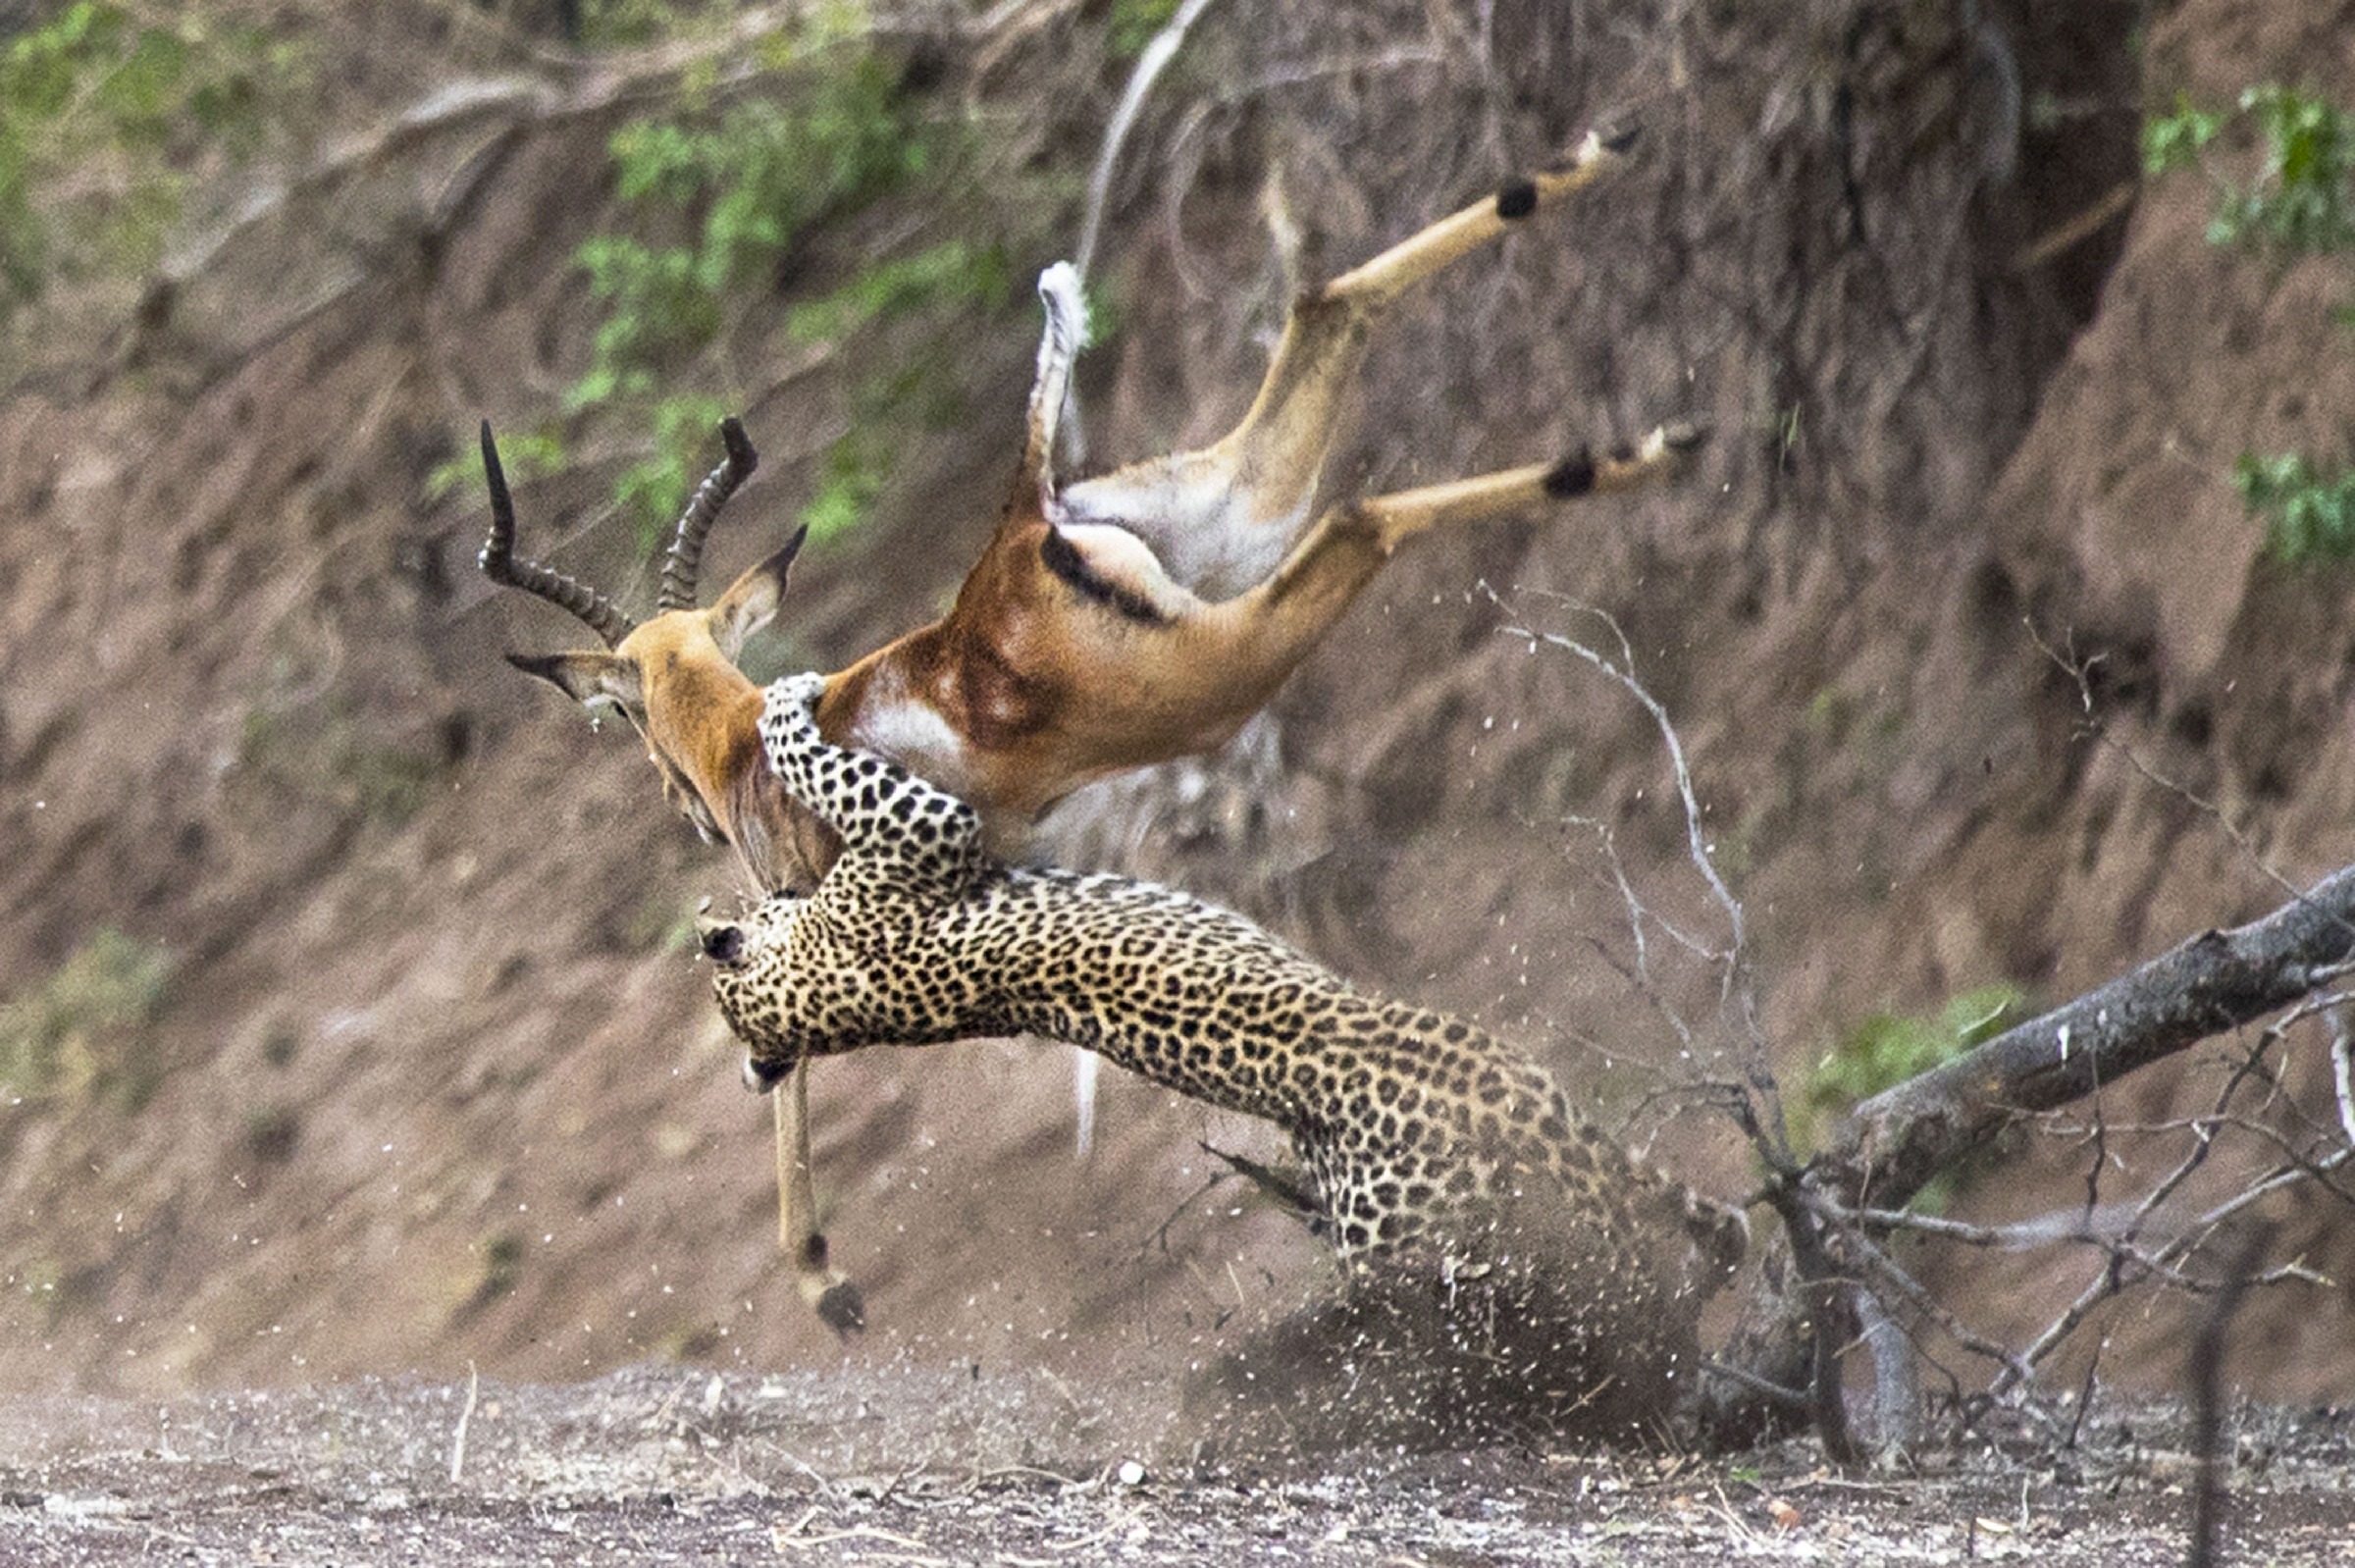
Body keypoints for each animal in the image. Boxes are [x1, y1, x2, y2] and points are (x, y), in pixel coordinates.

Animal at [697, 668, 1752, 1431]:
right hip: (1432, 1236)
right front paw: (789, 696)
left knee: (1707, 1227)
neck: (823, 1003)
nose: (725, 909)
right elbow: (814, 758)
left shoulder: (919, 837)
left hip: (1543, 1125)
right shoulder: (919, 832)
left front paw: (786, 694)